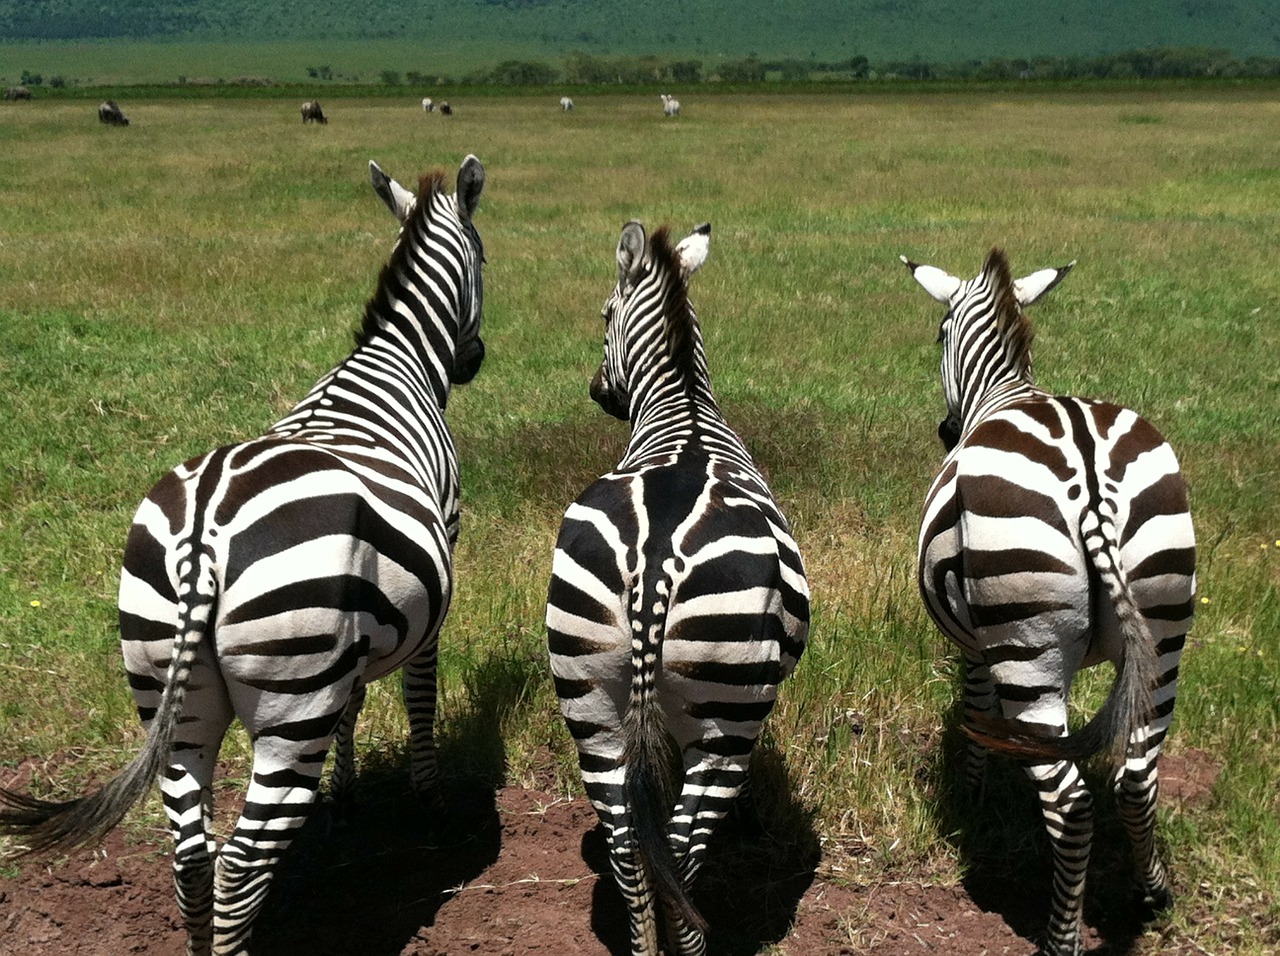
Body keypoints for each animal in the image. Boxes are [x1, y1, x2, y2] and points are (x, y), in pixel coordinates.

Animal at [0, 153, 488, 952]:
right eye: (485, 260)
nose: (473, 360)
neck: (394, 364)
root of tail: (204, 533)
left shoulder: (353, 636)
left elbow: (355, 703)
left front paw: (347, 799)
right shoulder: (437, 569)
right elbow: (421, 694)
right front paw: (431, 802)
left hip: (172, 694)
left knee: (193, 854)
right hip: (290, 703)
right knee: (241, 860)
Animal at [547, 220, 808, 952]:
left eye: (603, 313)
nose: (598, 392)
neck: (684, 407)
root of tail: (655, 554)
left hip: (588, 693)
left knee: (632, 844)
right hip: (728, 718)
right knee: (683, 847)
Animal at [911, 248, 1187, 956]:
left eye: (938, 334)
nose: (946, 431)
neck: (1002, 392)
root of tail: (1091, 481)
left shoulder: (976, 644)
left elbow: (977, 709)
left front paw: (972, 798)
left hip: (1025, 648)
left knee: (1069, 805)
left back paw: (1061, 939)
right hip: (1166, 629)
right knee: (1138, 777)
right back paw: (1152, 892)